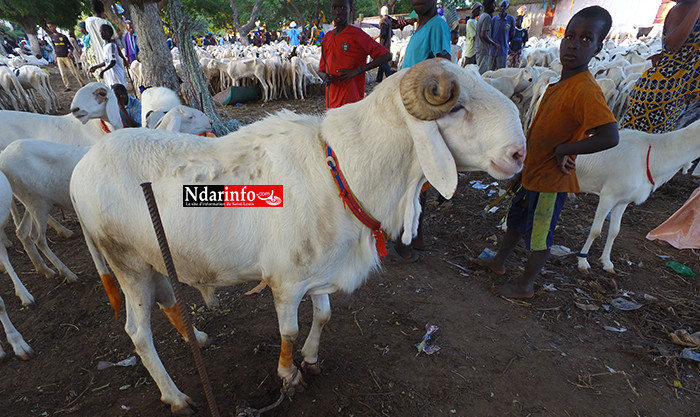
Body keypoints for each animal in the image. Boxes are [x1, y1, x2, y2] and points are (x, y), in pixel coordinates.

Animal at [69, 59, 524, 412]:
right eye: (457, 106)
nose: (518, 154)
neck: (343, 169)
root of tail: (80, 170)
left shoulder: (320, 267)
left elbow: (323, 315)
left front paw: (312, 358)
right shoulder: (285, 281)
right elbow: (287, 332)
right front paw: (289, 374)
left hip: (153, 259)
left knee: (169, 303)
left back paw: (196, 338)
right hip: (126, 263)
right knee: (138, 334)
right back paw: (176, 396)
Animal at [576, 118, 700, 272]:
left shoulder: (622, 201)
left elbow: (614, 231)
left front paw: (607, 263)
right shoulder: (608, 196)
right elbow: (595, 230)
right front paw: (582, 261)